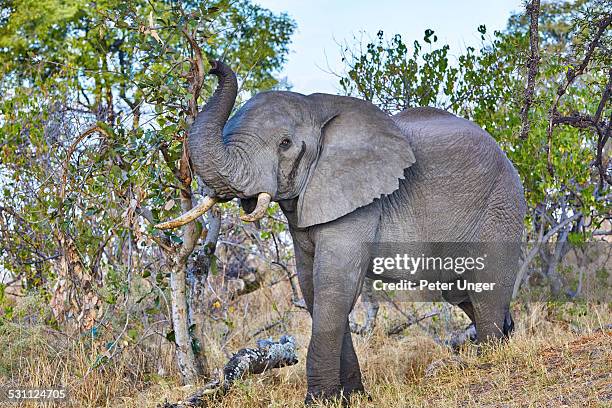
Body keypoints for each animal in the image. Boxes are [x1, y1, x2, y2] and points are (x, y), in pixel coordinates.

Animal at [158, 59, 524, 404]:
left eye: (285, 143)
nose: (213, 65)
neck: (316, 108)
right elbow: (312, 287)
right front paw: (351, 397)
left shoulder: (359, 201)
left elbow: (334, 286)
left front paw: (318, 400)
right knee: (460, 292)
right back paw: (507, 334)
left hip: (500, 204)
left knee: (486, 288)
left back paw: (491, 358)